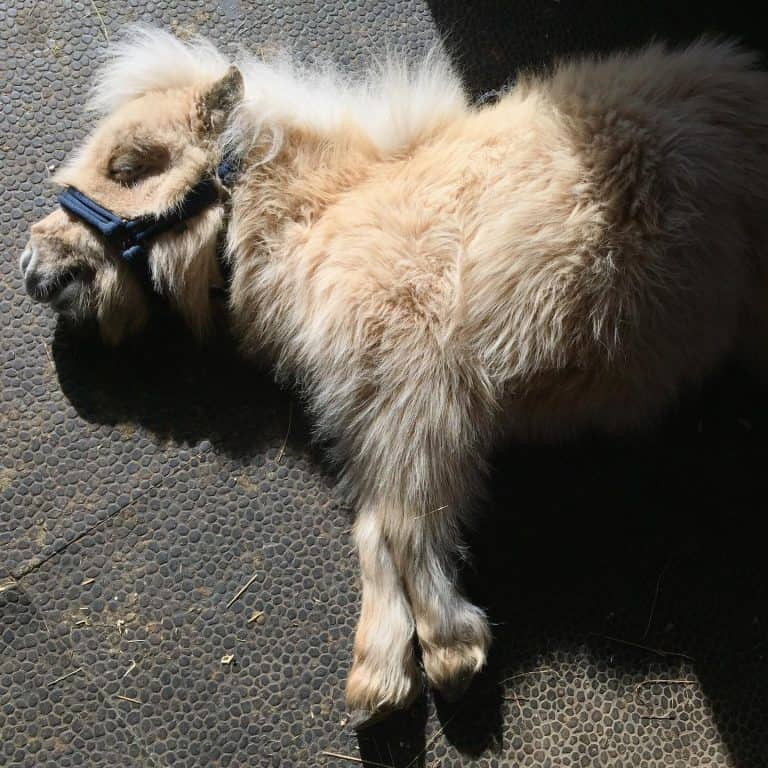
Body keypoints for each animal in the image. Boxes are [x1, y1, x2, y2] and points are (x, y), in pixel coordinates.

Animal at [19, 27, 768, 724]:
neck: (327, 212)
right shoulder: (364, 410)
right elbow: (375, 527)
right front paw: (381, 678)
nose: (32, 263)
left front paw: (449, 654)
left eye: (128, 165)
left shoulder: (423, 391)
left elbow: (409, 520)